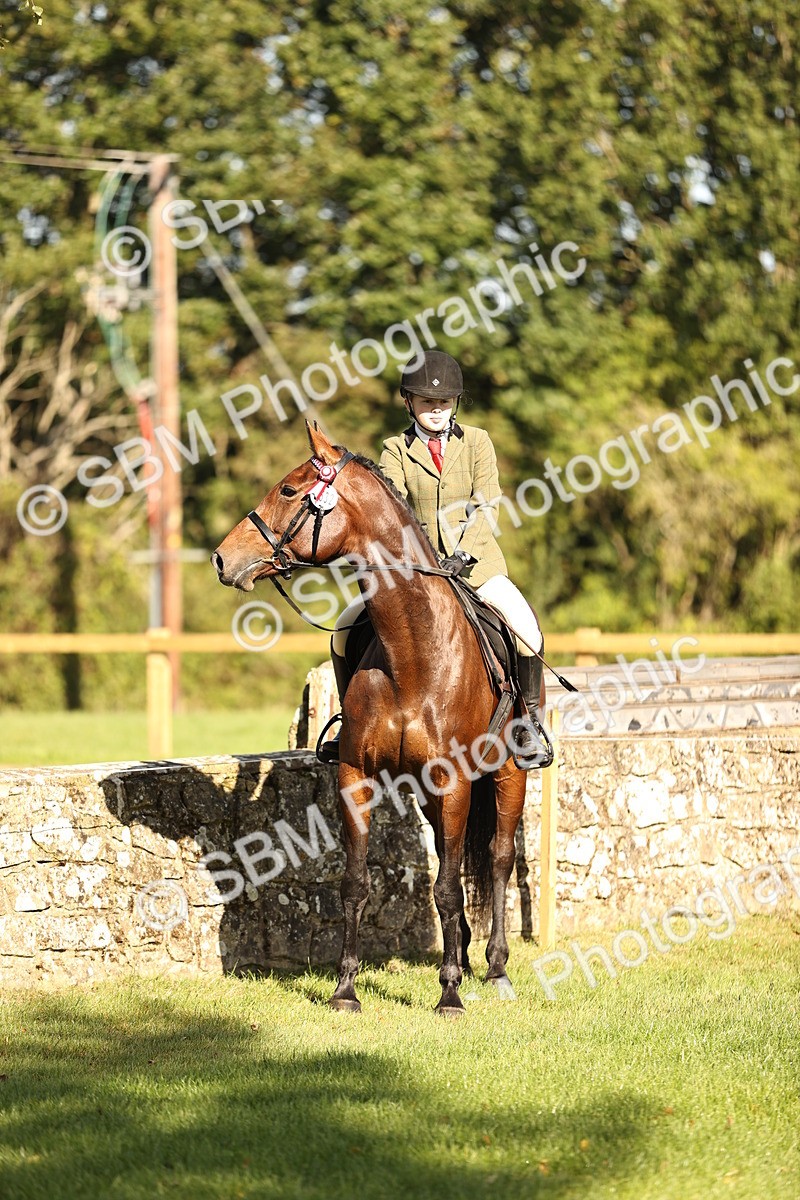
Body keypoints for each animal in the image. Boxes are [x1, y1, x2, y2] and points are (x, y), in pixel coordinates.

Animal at [211, 421, 540, 1016]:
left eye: (289, 490)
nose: (222, 559)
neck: (413, 650)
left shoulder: (455, 781)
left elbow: (449, 886)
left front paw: (450, 995)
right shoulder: (356, 777)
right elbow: (357, 883)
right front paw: (345, 990)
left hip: (509, 774)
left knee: (499, 859)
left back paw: (495, 969)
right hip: (431, 796)